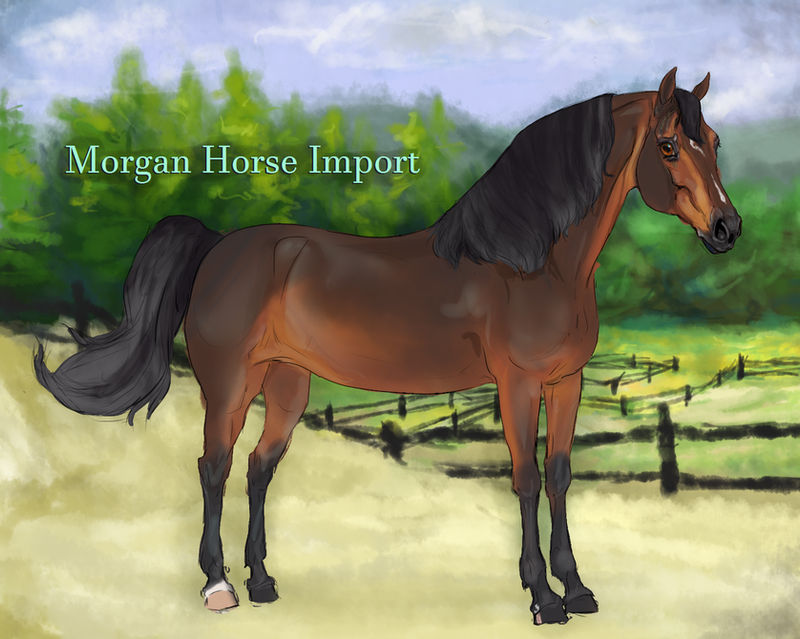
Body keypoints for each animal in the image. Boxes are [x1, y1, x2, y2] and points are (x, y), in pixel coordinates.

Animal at [34, 67, 741, 625]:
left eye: (712, 142)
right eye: (669, 146)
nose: (727, 229)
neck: (530, 264)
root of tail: (218, 245)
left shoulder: (566, 383)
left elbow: (562, 474)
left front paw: (579, 590)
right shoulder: (516, 385)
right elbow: (526, 478)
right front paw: (543, 598)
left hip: (286, 384)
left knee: (259, 469)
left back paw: (263, 582)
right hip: (230, 384)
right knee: (214, 467)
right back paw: (218, 587)